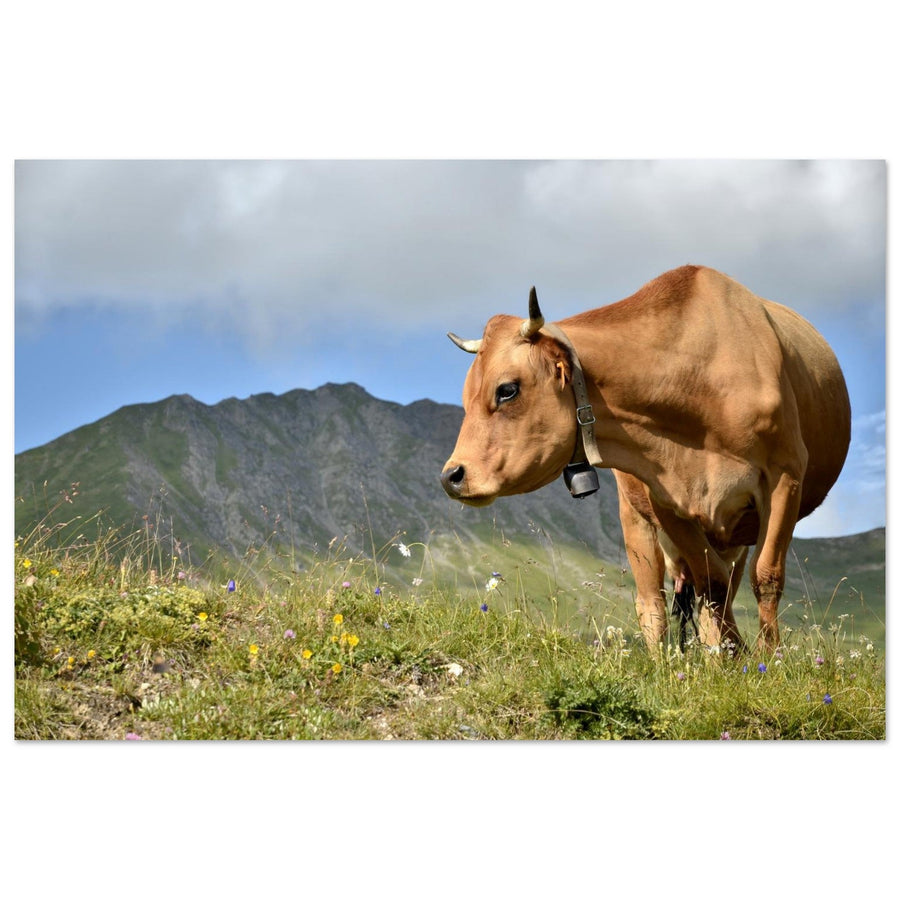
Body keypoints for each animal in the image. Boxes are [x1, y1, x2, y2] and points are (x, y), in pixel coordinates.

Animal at [440, 265, 851, 653]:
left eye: (507, 390)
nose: (451, 476)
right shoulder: (666, 500)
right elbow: (711, 585)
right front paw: (732, 658)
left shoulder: (786, 477)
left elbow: (765, 578)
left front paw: (766, 657)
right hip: (636, 517)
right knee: (655, 602)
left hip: (734, 532)